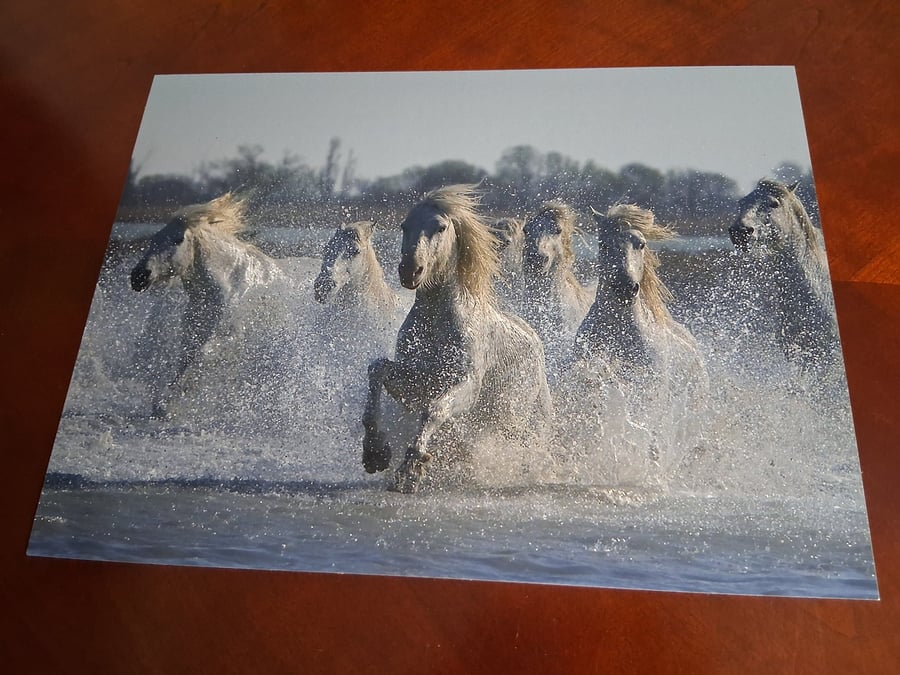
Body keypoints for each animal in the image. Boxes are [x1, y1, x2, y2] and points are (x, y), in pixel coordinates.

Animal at [130, 193, 293, 419]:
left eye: (178, 239)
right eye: (154, 239)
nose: (138, 277)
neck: (229, 287)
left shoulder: (233, 337)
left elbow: (203, 355)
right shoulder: (193, 334)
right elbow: (187, 360)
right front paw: (163, 404)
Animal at [361, 185, 555, 492]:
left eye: (440, 227)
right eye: (405, 226)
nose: (410, 270)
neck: (437, 322)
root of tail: (534, 340)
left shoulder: (466, 385)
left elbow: (435, 410)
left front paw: (409, 472)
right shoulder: (418, 381)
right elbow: (377, 369)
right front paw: (375, 452)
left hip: (512, 418)